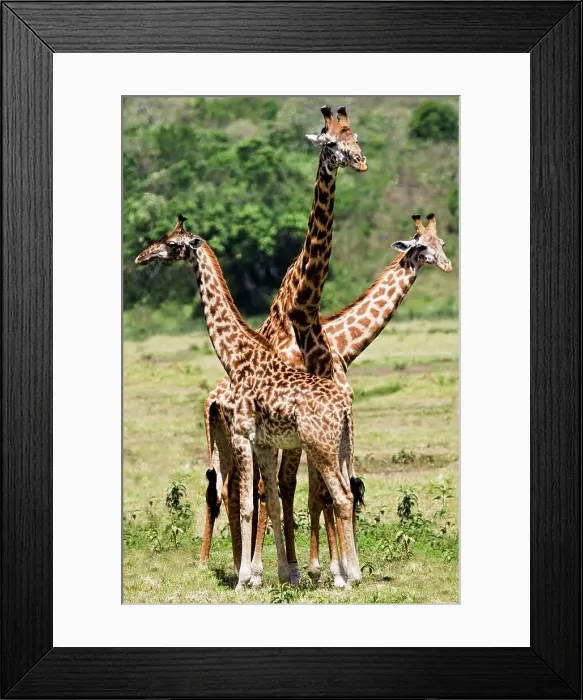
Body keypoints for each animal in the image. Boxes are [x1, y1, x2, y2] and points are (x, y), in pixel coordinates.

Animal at [135, 217, 362, 588]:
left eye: (171, 243)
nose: (142, 256)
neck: (236, 357)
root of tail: (344, 408)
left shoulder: (242, 434)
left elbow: (247, 506)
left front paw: (244, 580)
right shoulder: (264, 443)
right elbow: (270, 501)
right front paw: (281, 575)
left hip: (320, 448)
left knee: (341, 496)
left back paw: (350, 577)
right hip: (341, 449)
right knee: (346, 495)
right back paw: (348, 572)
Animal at [213, 213, 452, 580]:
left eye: (442, 243)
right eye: (422, 246)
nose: (447, 264)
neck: (341, 342)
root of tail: (215, 395)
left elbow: (331, 489)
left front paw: (332, 568)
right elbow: (321, 492)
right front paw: (328, 570)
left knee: (239, 488)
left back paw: (249, 565)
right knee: (260, 489)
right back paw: (260, 569)